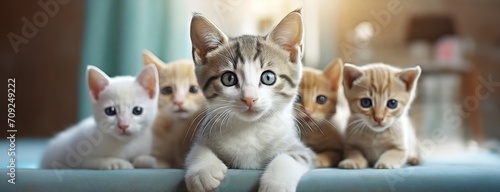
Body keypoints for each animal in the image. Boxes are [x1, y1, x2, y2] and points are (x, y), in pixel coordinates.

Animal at [186, 10, 314, 192]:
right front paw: (203, 171)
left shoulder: (302, 150)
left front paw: (275, 184)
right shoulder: (205, 131)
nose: (249, 98)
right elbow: (196, 149)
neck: (250, 129)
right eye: (229, 78)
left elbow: (290, 158)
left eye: (268, 77)